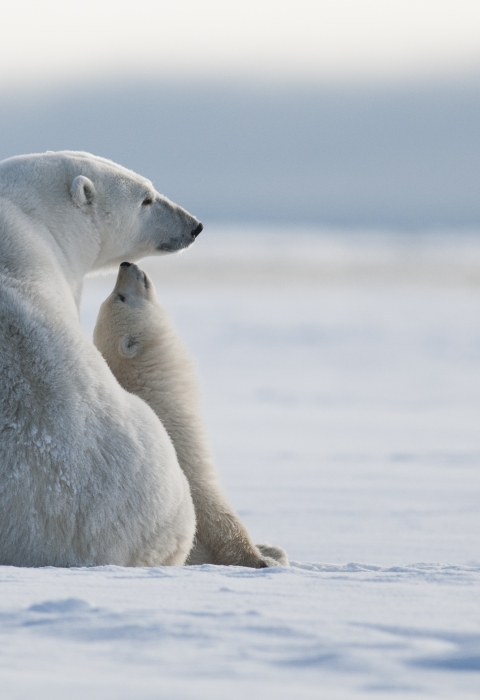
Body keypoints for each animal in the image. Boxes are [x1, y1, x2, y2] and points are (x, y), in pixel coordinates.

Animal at [94, 261, 289, 568]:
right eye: (120, 297)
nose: (126, 264)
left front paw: (271, 550)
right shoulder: (184, 452)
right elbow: (216, 515)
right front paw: (260, 560)